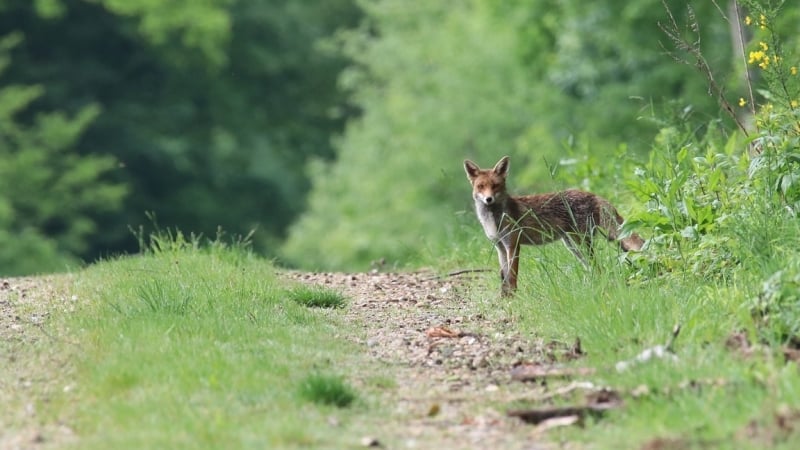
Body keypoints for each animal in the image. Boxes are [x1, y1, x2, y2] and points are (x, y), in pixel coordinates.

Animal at [462, 155, 644, 296]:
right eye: (481, 186)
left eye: (495, 186)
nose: (488, 199)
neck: (494, 220)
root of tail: (593, 194)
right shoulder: (500, 247)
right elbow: (503, 276)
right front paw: (504, 297)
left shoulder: (513, 245)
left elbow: (512, 276)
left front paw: (513, 297)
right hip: (573, 246)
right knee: (593, 267)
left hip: (580, 243)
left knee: (598, 267)